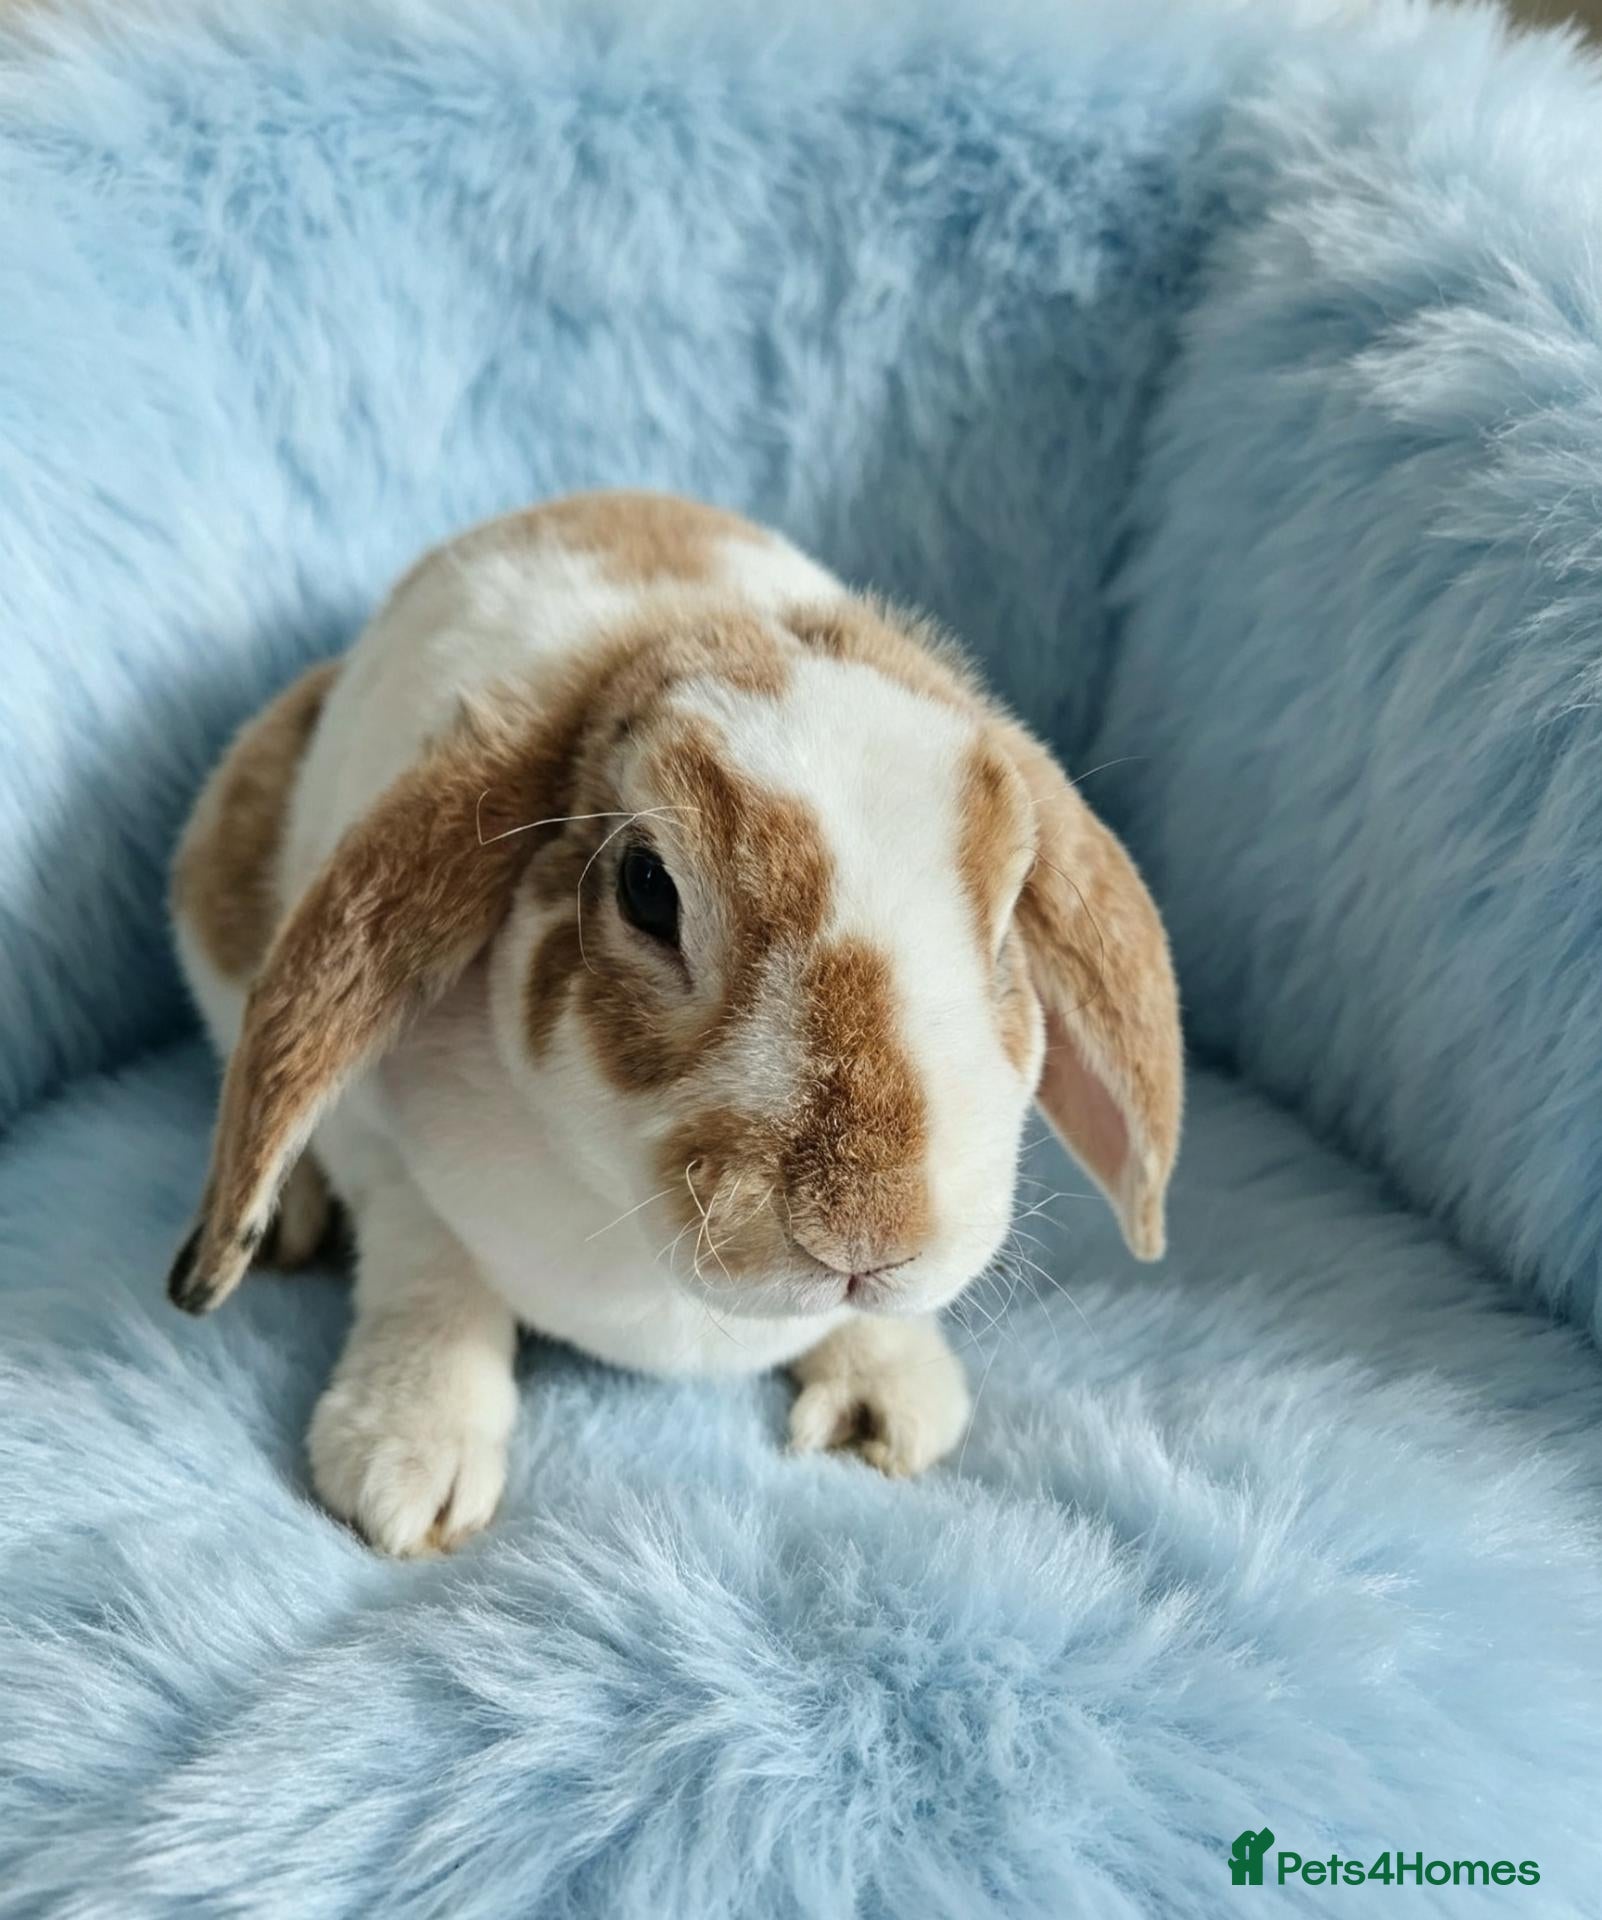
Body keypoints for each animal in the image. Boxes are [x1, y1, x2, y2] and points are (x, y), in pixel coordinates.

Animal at [167, 491, 1183, 1556]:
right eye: (648, 889)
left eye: (1011, 904)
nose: (869, 1233)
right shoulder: (384, 1152)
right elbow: (429, 1264)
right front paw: (408, 1462)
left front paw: (891, 1397)